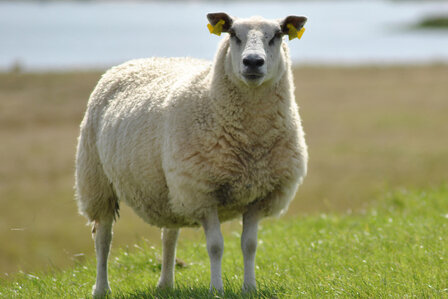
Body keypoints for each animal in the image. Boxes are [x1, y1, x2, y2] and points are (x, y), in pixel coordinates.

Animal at [76, 12, 308, 298]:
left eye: (277, 35)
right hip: (96, 179)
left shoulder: (259, 194)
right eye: (233, 34)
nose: (253, 61)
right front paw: (216, 289)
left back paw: (165, 284)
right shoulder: (201, 192)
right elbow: (216, 246)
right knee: (103, 237)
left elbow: (250, 244)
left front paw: (250, 287)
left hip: (168, 188)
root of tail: (137, 61)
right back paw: (101, 288)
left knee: (169, 235)